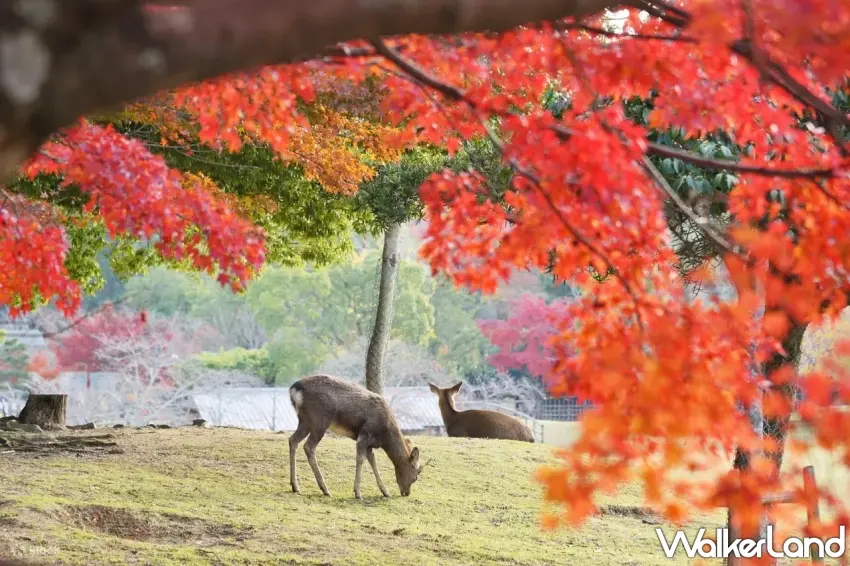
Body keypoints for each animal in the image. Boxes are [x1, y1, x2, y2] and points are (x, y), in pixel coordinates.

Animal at [288, 374, 428, 499]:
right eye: (416, 476)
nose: (406, 493)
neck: (384, 436)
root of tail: (294, 389)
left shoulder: (370, 444)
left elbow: (373, 461)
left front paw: (385, 492)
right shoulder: (364, 434)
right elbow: (360, 459)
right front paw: (358, 493)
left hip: (305, 421)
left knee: (292, 440)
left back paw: (295, 486)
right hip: (320, 420)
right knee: (309, 446)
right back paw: (325, 489)